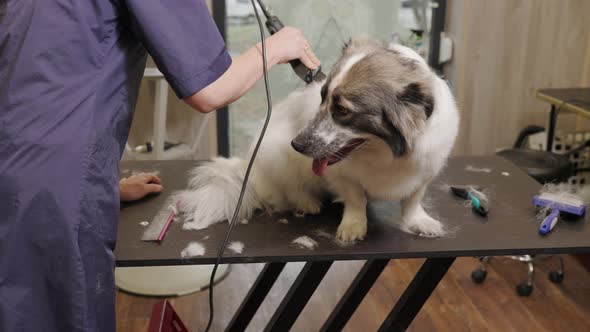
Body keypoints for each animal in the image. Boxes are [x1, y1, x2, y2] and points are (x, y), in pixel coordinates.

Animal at [177, 38, 462, 241]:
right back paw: (307, 202)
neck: (383, 154)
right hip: (275, 155)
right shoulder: (342, 176)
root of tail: (247, 168)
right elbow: (355, 198)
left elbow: (412, 200)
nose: (297, 145)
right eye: (322, 97)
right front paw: (353, 226)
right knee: (288, 189)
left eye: (342, 110)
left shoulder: (424, 173)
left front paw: (419, 221)